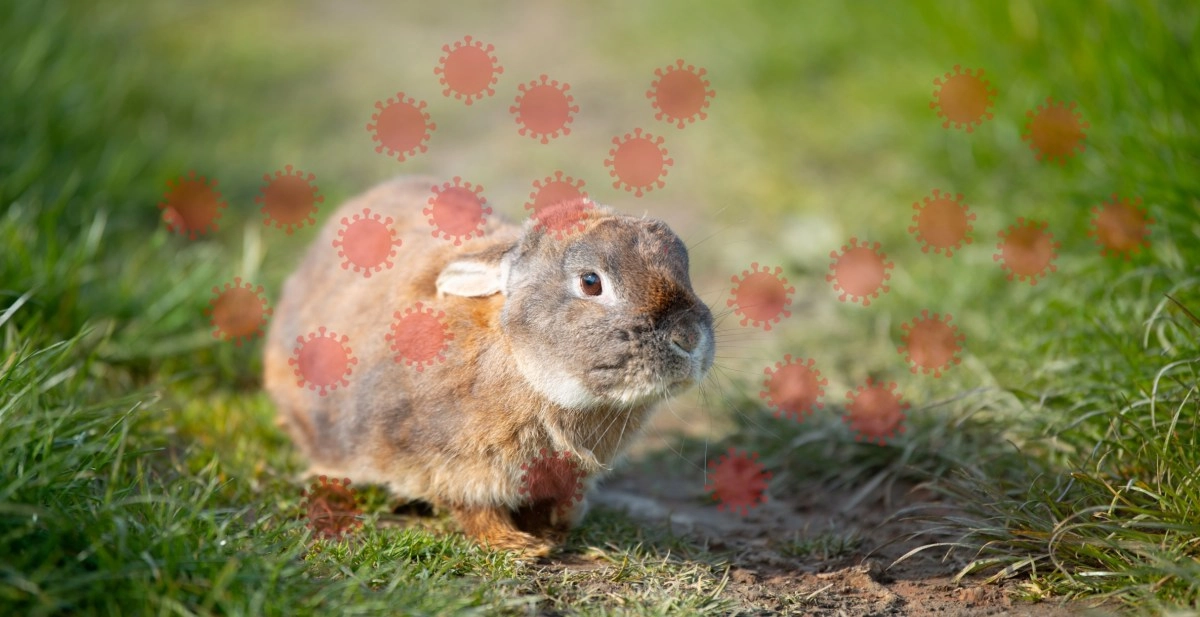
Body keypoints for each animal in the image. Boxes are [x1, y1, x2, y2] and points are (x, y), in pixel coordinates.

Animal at [264, 176, 714, 556]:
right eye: (591, 282)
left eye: (686, 269)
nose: (689, 338)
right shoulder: (454, 467)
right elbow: (475, 511)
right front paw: (520, 546)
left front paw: (549, 534)